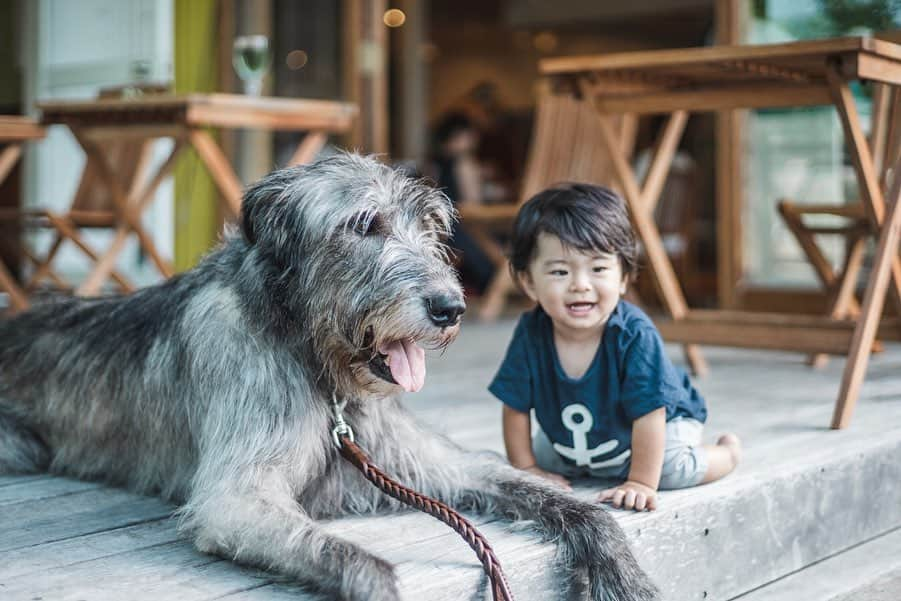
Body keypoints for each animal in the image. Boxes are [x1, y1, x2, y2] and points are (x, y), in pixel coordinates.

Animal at [3, 154, 656, 600]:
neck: (322, 369)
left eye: (431, 227)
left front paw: (622, 572)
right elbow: (365, 566)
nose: (451, 308)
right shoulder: (237, 499)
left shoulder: (424, 462)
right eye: (363, 225)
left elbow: (568, 503)